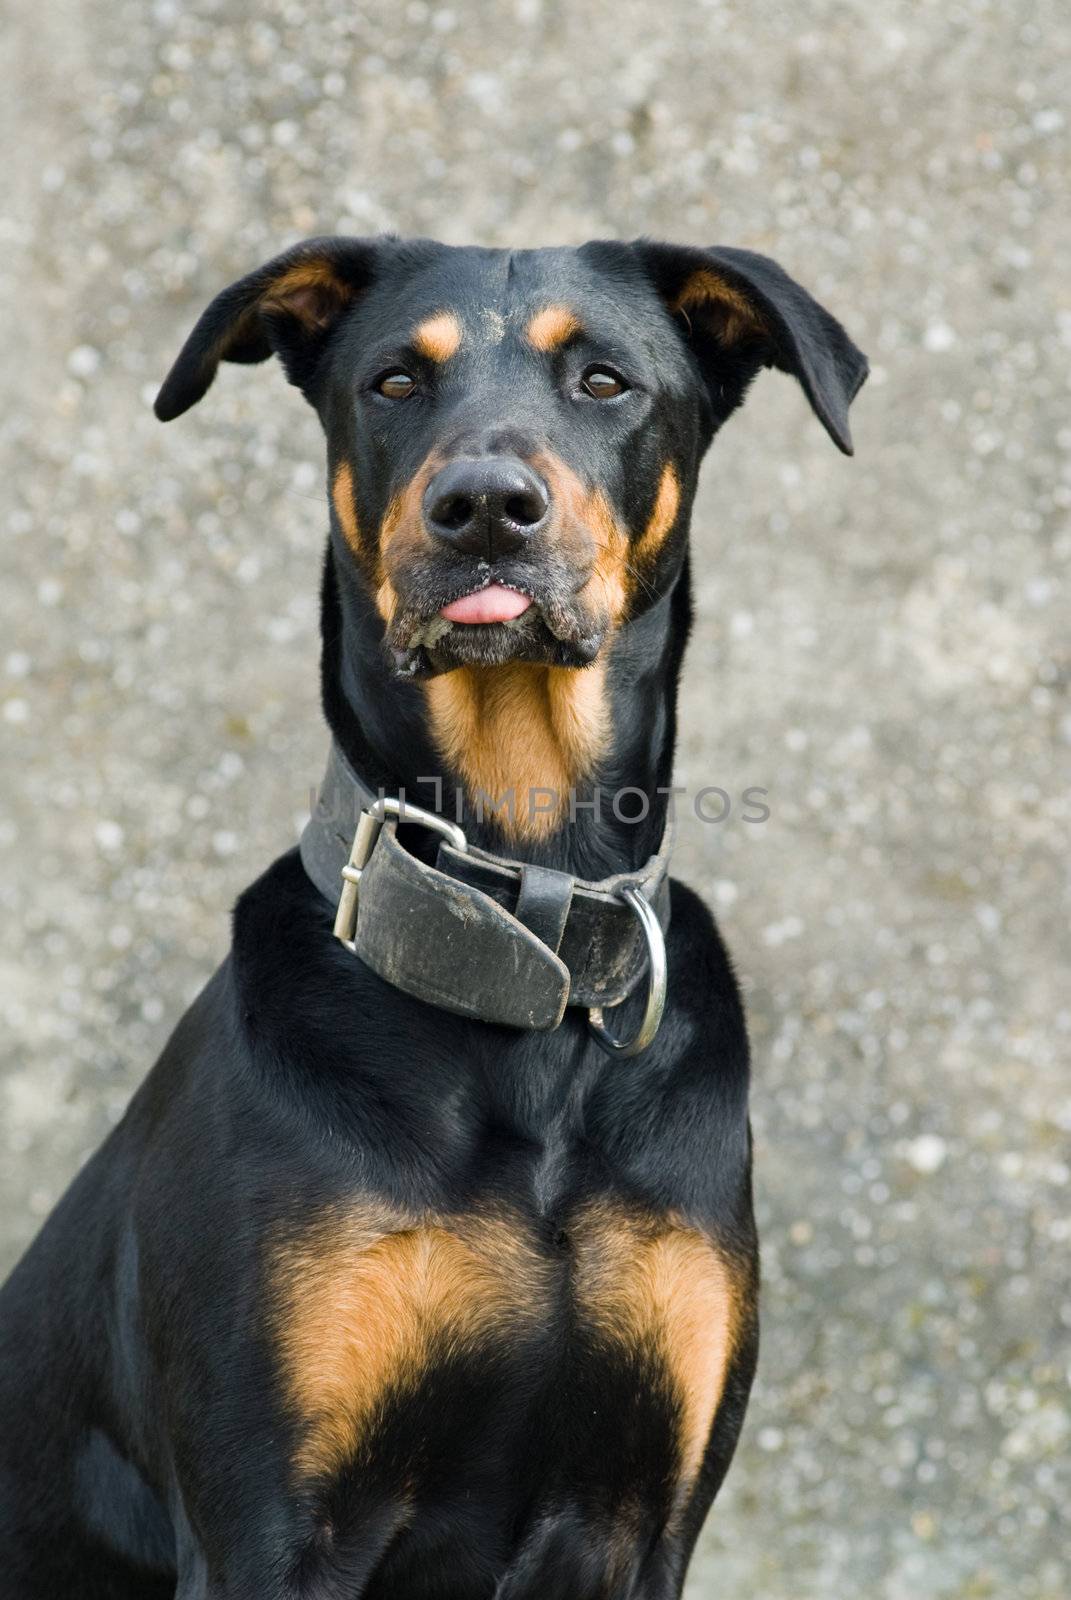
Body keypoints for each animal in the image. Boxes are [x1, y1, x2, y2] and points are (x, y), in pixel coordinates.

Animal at [0, 232, 864, 1593]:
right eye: (396, 382)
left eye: (605, 380)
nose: (485, 507)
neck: (528, 935)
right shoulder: (266, 1525)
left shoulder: (646, 1518)